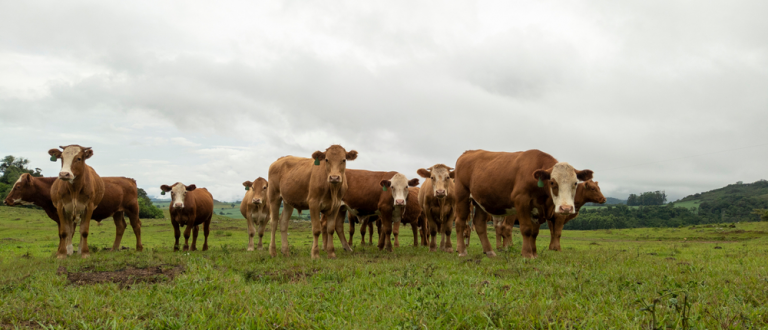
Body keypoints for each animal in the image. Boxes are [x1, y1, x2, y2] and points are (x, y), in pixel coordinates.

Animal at [4, 175, 144, 253]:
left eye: (18, 186)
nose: (6, 200)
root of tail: (128, 179)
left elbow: (68, 233)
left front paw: (66, 251)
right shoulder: (60, 217)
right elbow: (63, 234)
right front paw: (61, 251)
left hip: (132, 208)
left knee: (136, 226)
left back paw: (139, 248)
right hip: (117, 211)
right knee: (120, 227)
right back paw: (113, 249)